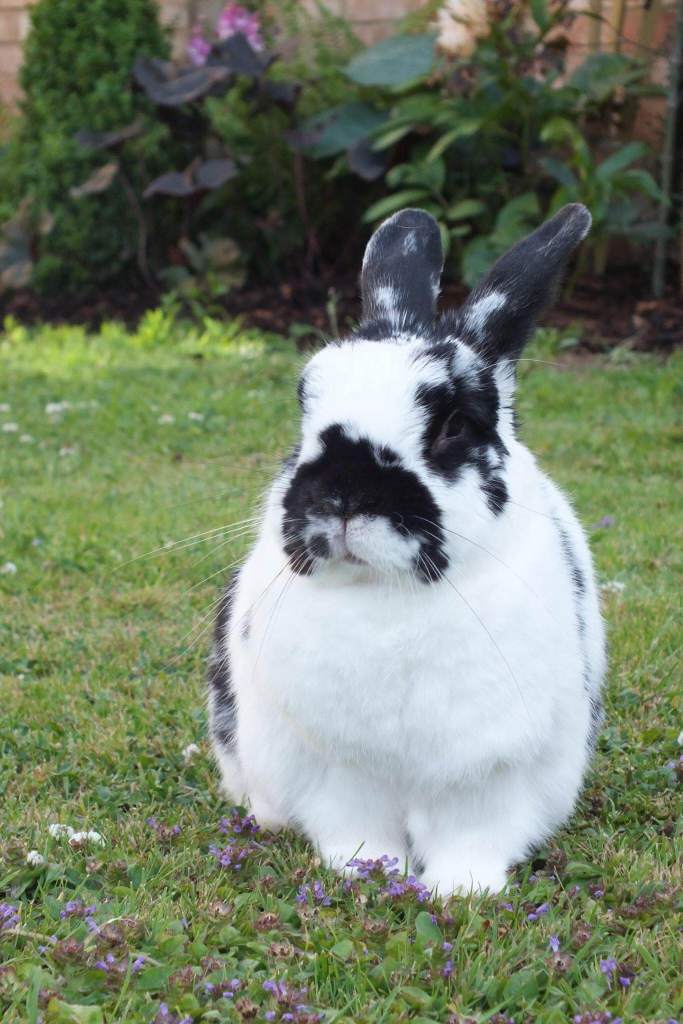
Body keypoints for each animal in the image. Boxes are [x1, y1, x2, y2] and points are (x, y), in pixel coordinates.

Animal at [208, 203, 606, 895]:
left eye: (454, 424)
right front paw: (366, 874)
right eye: (305, 407)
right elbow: (354, 828)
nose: (343, 494)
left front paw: (463, 891)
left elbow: (473, 836)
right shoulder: (342, 773)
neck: (386, 597)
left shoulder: (489, 774)